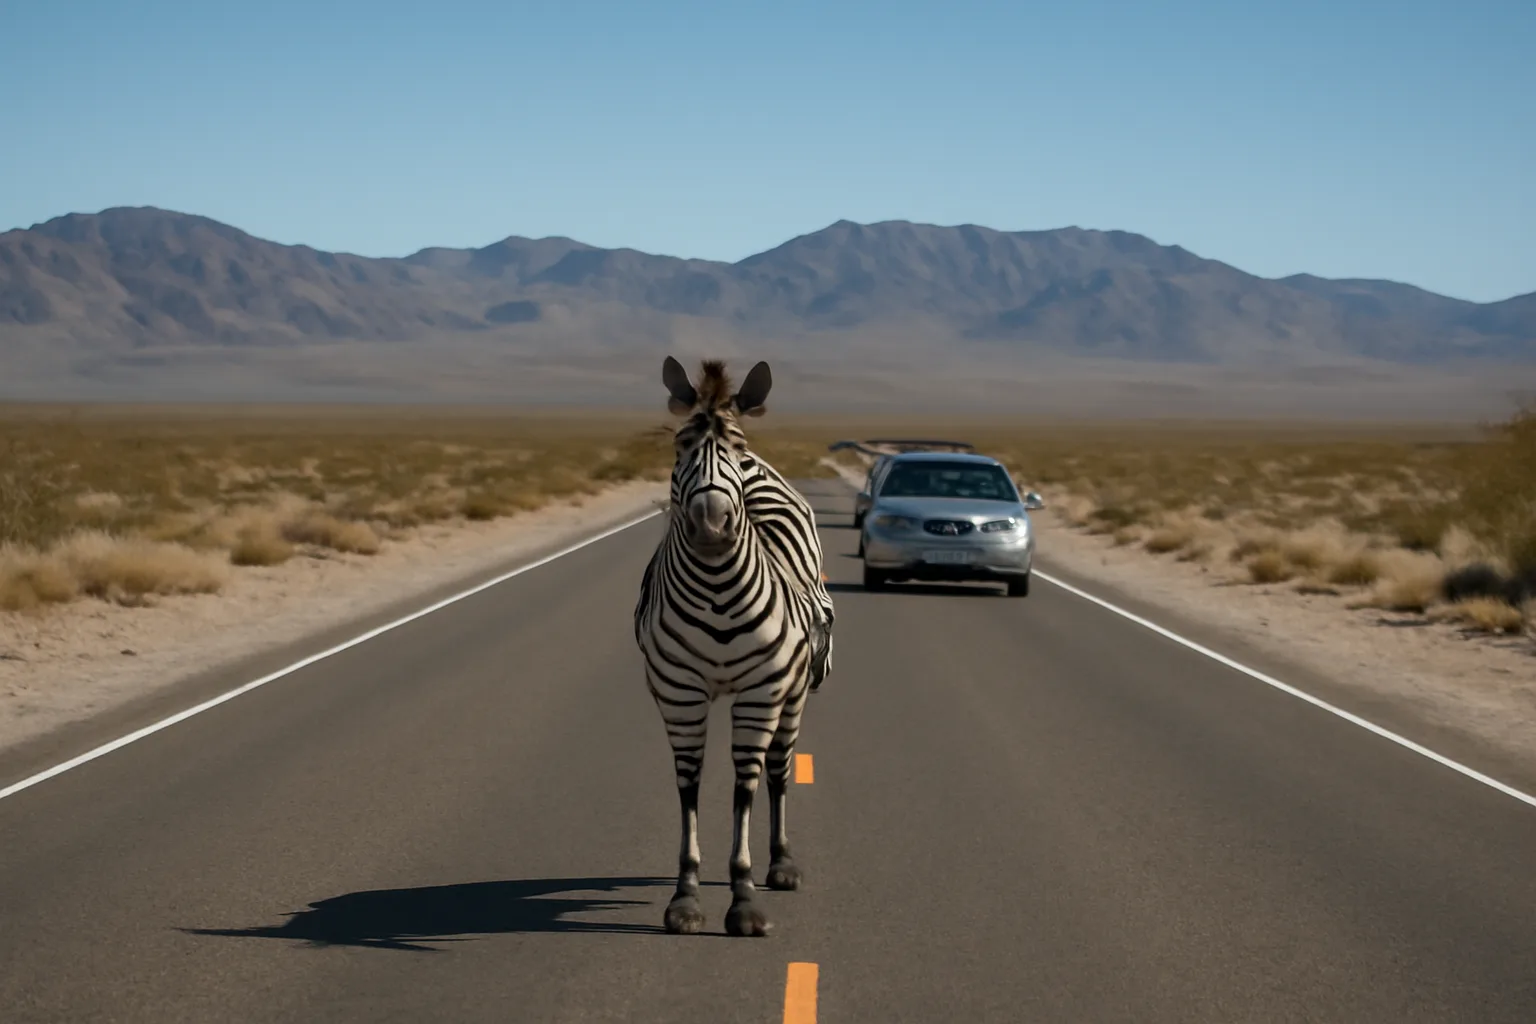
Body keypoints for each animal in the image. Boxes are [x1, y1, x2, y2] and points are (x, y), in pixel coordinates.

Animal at [634, 355, 833, 937]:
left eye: (737, 448)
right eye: (680, 445)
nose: (710, 523)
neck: (719, 593)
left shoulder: (760, 692)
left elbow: (746, 784)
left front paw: (743, 896)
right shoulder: (681, 694)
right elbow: (690, 787)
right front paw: (686, 897)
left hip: (793, 694)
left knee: (779, 769)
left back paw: (782, 863)